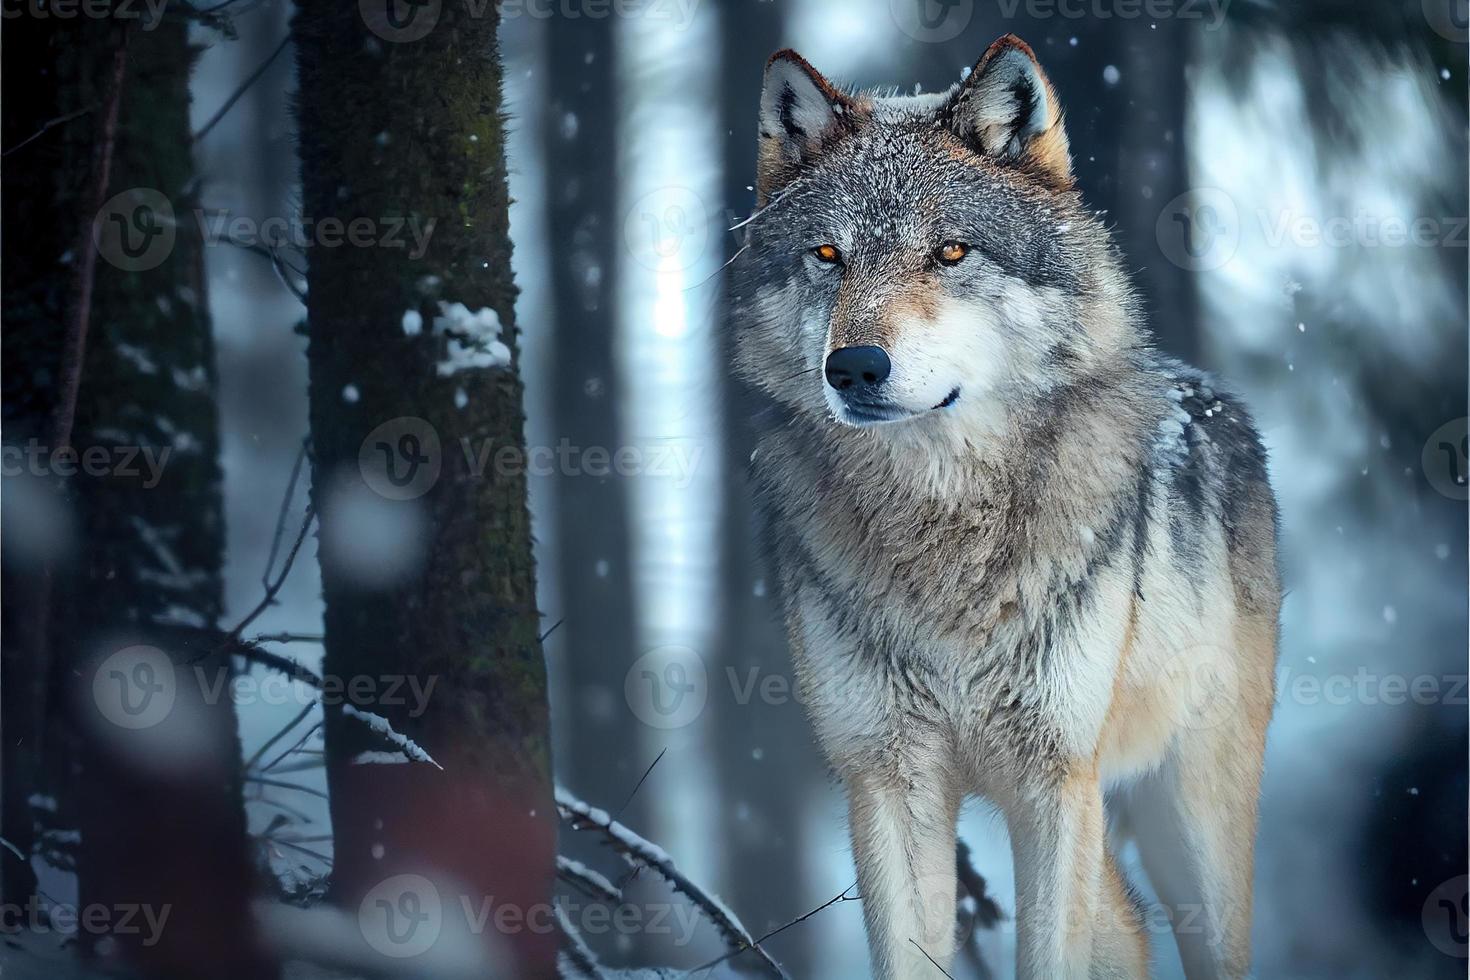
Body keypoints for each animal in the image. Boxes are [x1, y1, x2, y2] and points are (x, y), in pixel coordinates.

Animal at [729, 34, 1281, 975]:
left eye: (951, 253)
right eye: (828, 256)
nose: (854, 367)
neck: (943, 525)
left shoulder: (1054, 781)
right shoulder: (887, 779)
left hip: (1192, 826)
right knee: (1129, 927)